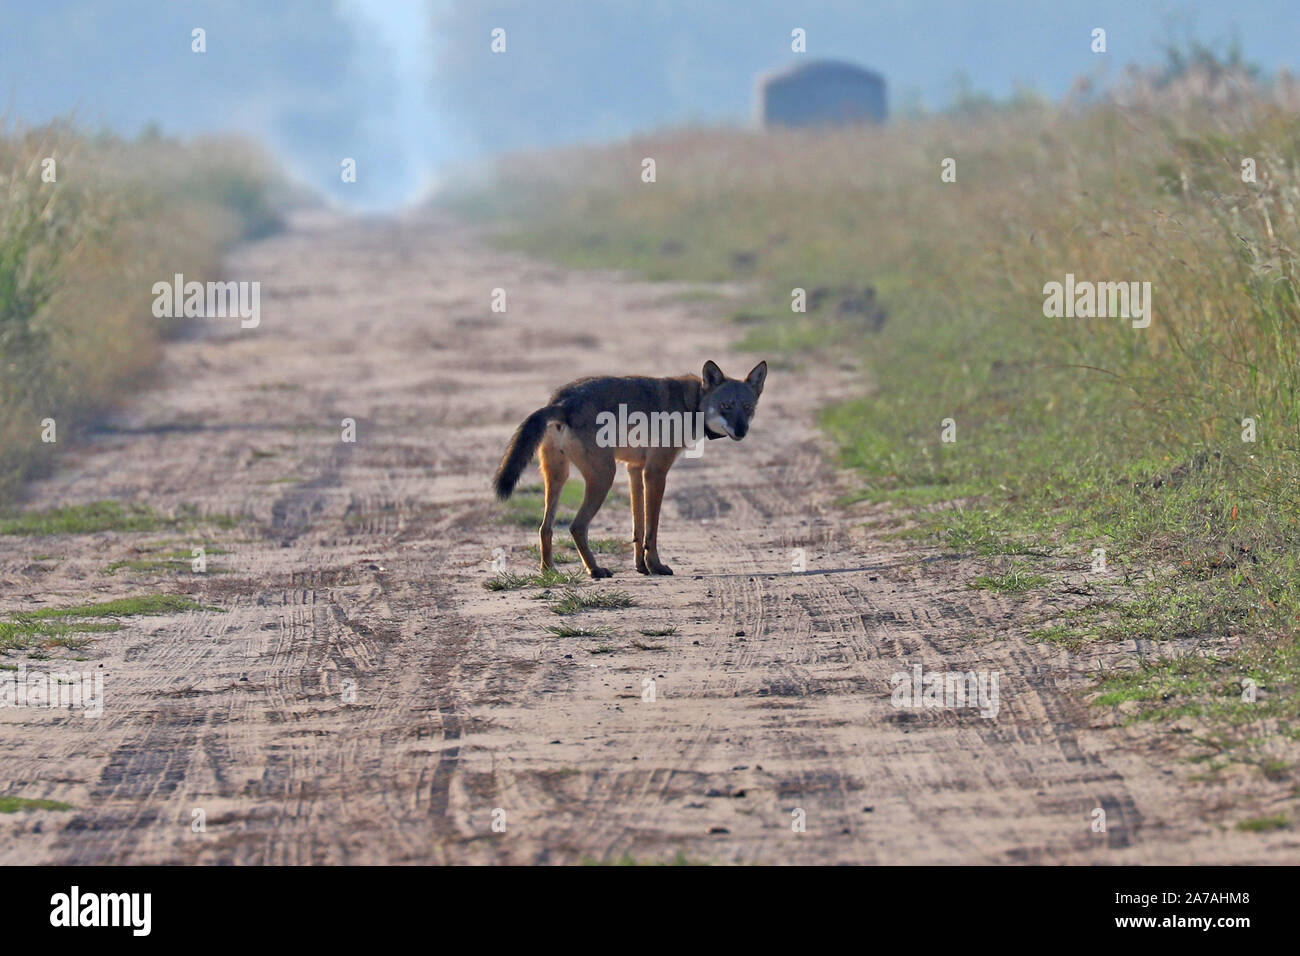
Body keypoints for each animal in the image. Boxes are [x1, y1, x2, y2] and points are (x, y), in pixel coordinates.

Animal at [494, 360, 767, 578]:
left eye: (748, 408)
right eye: (726, 406)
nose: (741, 431)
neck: (691, 403)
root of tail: (561, 401)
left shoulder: (635, 469)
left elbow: (638, 527)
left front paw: (641, 567)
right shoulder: (655, 472)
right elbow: (651, 530)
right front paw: (656, 566)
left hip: (559, 478)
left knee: (545, 528)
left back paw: (549, 571)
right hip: (604, 478)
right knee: (576, 526)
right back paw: (595, 570)